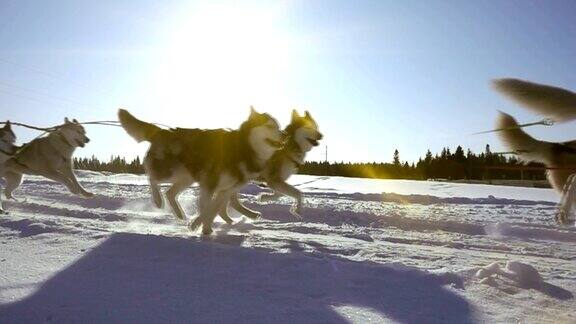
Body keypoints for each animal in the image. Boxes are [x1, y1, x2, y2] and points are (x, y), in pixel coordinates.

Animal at [118, 107, 284, 234]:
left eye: (278, 126)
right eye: (270, 126)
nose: (285, 135)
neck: (244, 148)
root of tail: (164, 131)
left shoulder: (225, 189)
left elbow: (213, 209)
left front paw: (204, 227)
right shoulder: (209, 185)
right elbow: (208, 209)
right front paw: (199, 226)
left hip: (187, 178)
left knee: (170, 192)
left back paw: (180, 214)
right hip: (171, 171)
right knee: (152, 177)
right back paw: (158, 201)